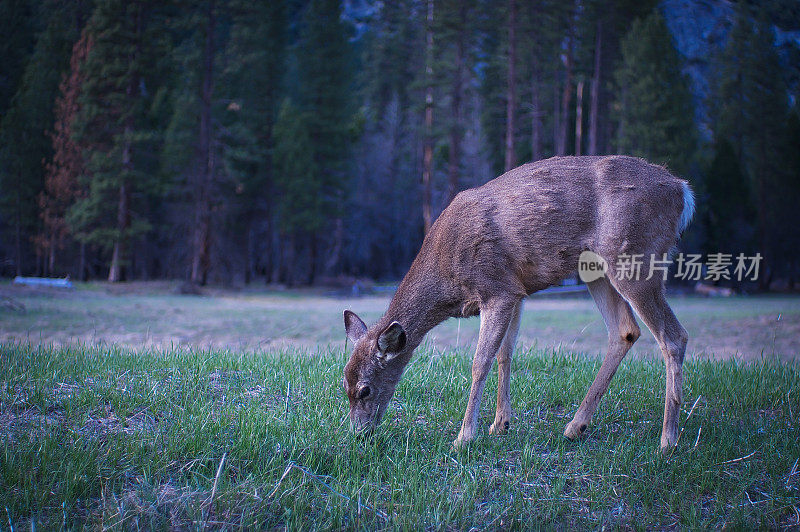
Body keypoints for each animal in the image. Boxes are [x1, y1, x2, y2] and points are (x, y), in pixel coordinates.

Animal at [340, 155, 692, 454]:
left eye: (364, 389)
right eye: (343, 384)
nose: (358, 435)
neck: (446, 277)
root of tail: (681, 190)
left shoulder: (496, 288)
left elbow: (480, 361)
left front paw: (464, 436)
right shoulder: (516, 291)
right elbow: (505, 354)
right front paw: (500, 424)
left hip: (635, 256)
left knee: (674, 336)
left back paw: (668, 440)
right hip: (596, 269)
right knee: (625, 331)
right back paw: (575, 427)